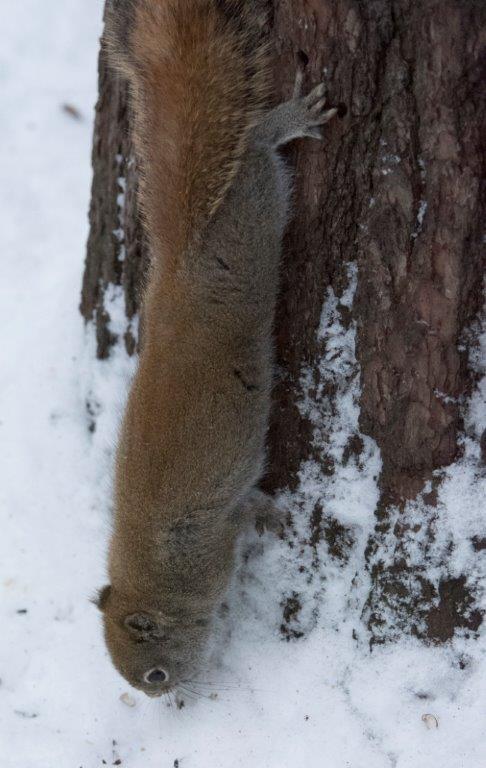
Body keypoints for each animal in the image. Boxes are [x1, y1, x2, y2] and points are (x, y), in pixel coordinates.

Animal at [95, 0, 338, 698]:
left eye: (154, 671)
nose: (170, 696)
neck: (155, 565)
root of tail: (180, 260)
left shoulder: (211, 542)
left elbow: (249, 511)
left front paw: (279, 520)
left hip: (253, 213)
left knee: (255, 149)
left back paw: (288, 120)